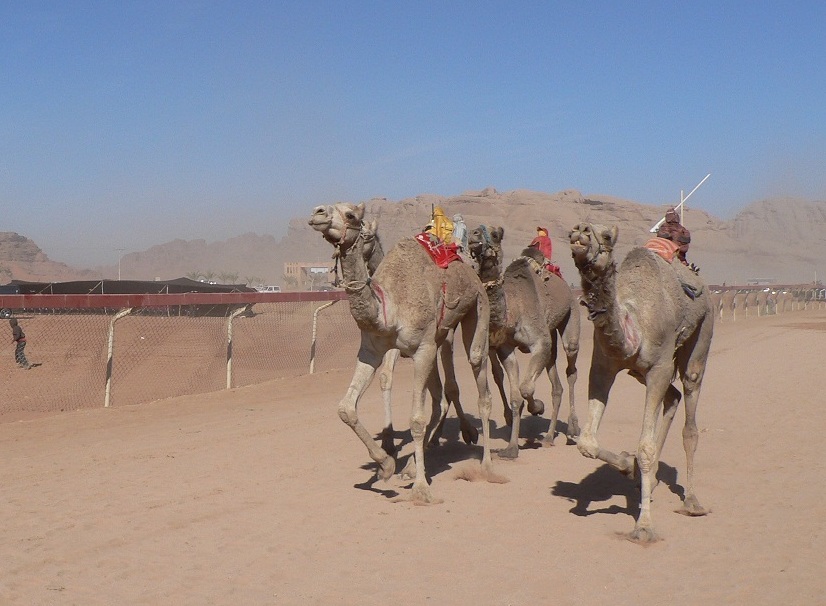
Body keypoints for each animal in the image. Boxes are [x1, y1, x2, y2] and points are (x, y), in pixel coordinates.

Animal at [308, 201, 490, 504]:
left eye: (351, 215)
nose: (317, 212)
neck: (387, 308)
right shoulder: (371, 350)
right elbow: (346, 407)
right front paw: (385, 464)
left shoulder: (422, 347)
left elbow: (416, 419)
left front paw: (422, 489)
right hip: (438, 337)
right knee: (439, 397)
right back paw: (412, 465)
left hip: (474, 308)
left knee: (476, 376)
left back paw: (486, 462)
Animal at [470, 226, 580, 458]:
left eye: (495, 234)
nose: (474, 235)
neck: (514, 308)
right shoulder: (506, 349)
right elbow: (516, 396)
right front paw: (511, 449)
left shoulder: (539, 342)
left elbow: (526, 388)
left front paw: (537, 406)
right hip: (551, 340)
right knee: (557, 387)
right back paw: (548, 437)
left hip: (571, 317)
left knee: (571, 369)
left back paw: (572, 429)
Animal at [568, 224, 712, 548]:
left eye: (607, 237)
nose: (580, 232)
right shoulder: (602, 366)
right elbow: (587, 443)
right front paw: (627, 464)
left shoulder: (659, 368)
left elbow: (645, 447)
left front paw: (644, 526)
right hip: (639, 372)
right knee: (673, 397)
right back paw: (653, 478)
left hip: (703, 329)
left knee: (690, 405)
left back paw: (693, 502)